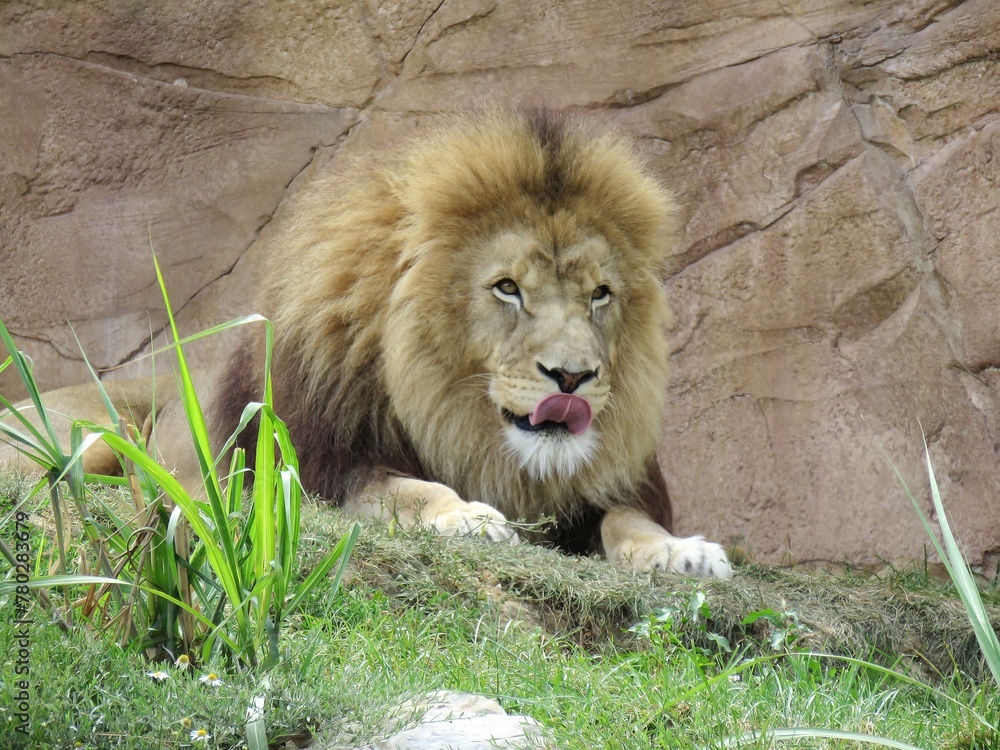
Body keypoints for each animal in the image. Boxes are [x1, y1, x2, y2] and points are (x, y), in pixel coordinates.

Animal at [1, 110, 731, 578]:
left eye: (599, 294)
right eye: (507, 288)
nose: (574, 378)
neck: (465, 426)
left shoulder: (600, 493)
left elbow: (627, 521)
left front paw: (681, 551)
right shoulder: (321, 472)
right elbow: (411, 490)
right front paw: (468, 519)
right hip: (86, 437)